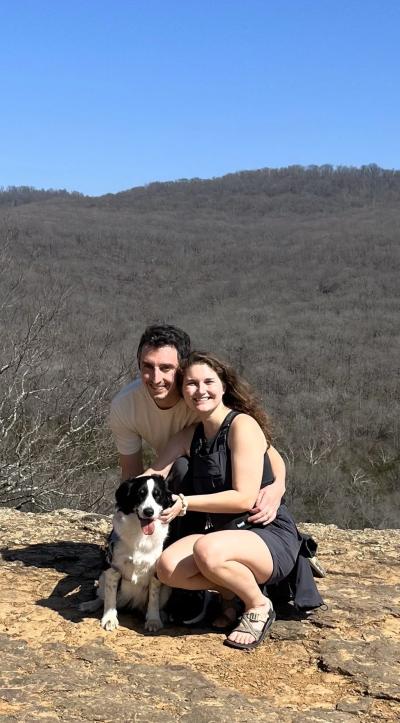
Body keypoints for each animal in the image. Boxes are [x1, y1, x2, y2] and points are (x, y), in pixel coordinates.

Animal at [79, 476, 173, 632]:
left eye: (157, 495)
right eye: (140, 494)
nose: (148, 511)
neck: (141, 535)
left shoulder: (155, 572)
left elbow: (153, 598)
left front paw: (154, 620)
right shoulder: (112, 569)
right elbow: (110, 598)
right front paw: (109, 618)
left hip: (167, 588)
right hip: (103, 576)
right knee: (101, 597)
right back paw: (90, 605)